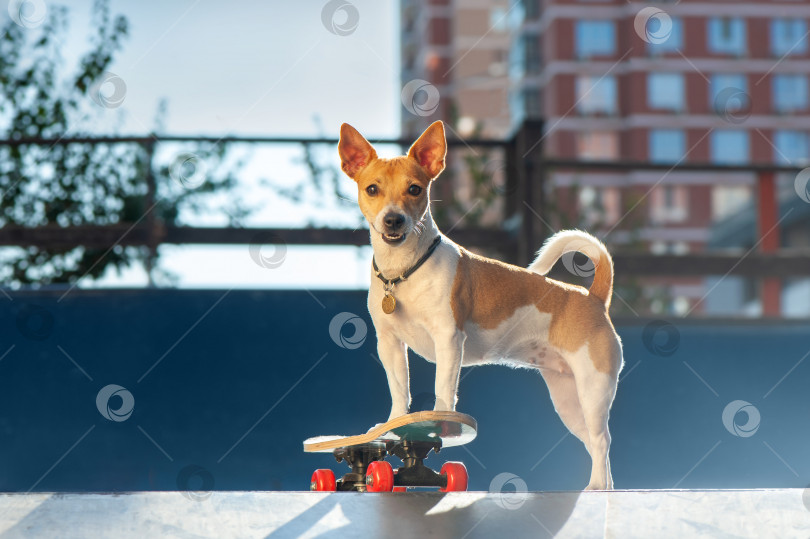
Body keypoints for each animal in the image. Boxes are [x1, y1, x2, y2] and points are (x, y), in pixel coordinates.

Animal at [338, 120, 620, 492]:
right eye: (372, 189)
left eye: (415, 190)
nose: (393, 220)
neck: (404, 272)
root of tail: (594, 297)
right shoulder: (390, 344)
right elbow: (399, 390)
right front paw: (393, 423)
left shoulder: (448, 338)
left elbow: (443, 388)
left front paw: (440, 420)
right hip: (569, 402)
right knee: (594, 443)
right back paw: (604, 485)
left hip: (593, 390)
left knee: (602, 441)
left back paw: (596, 486)